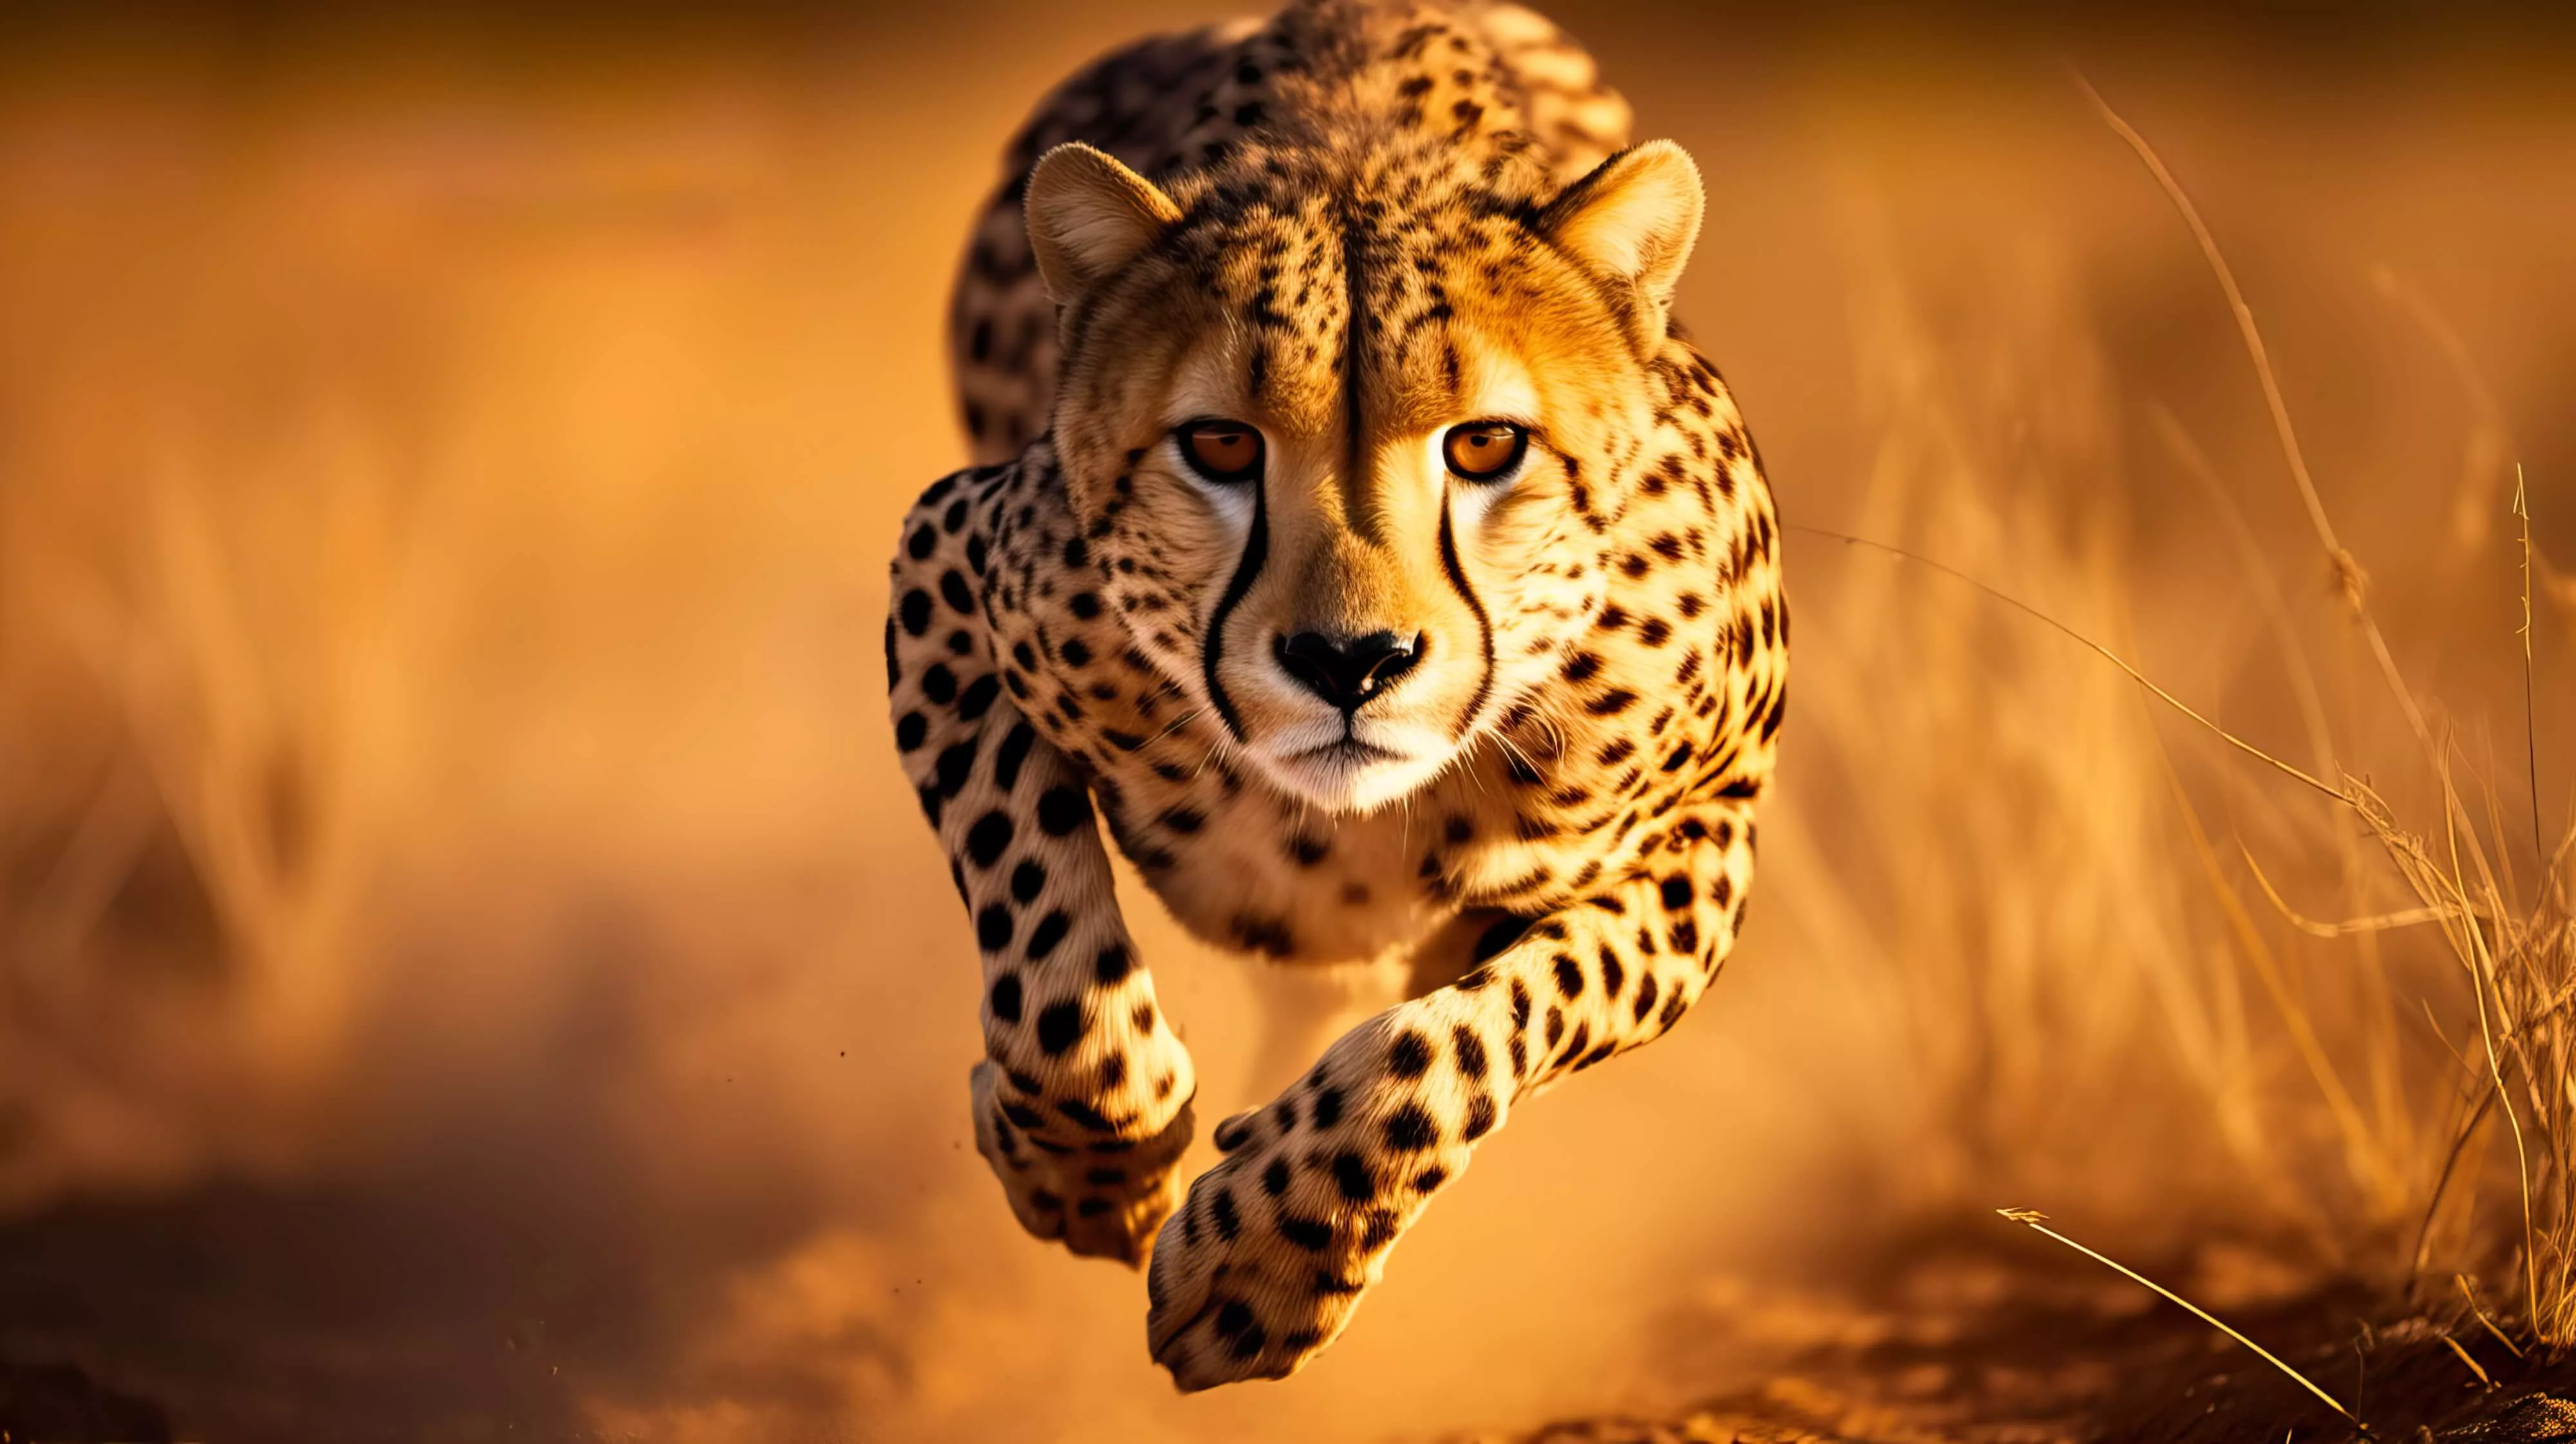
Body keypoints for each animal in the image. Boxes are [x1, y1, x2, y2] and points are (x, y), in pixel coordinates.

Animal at [884, 0, 1787, 1391]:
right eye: (1218, 444)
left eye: (1485, 443)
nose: (1349, 661)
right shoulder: (947, 565)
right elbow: (1045, 958)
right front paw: (1096, 1167)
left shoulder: (1709, 834)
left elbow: (1474, 1031)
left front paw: (1265, 1258)